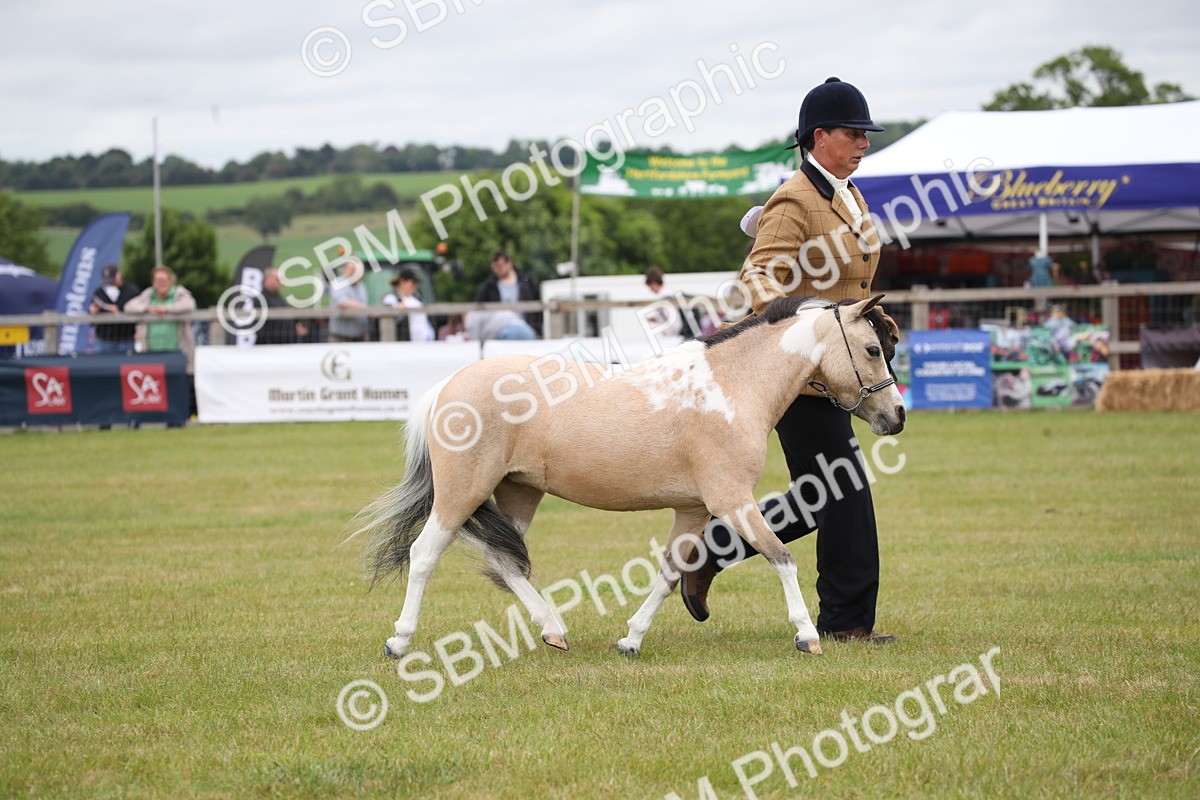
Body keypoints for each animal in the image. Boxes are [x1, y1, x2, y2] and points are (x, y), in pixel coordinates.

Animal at [352, 294, 905, 659]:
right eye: (872, 350)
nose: (896, 416)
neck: (733, 386)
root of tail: (450, 383)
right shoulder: (733, 501)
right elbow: (782, 558)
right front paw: (806, 634)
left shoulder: (693, 509)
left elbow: (670, 572)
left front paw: (631, 638)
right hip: (461, 492)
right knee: (424, 554)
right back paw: (399, 640)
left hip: (518, 494)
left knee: (504, 562)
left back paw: (553, 630)